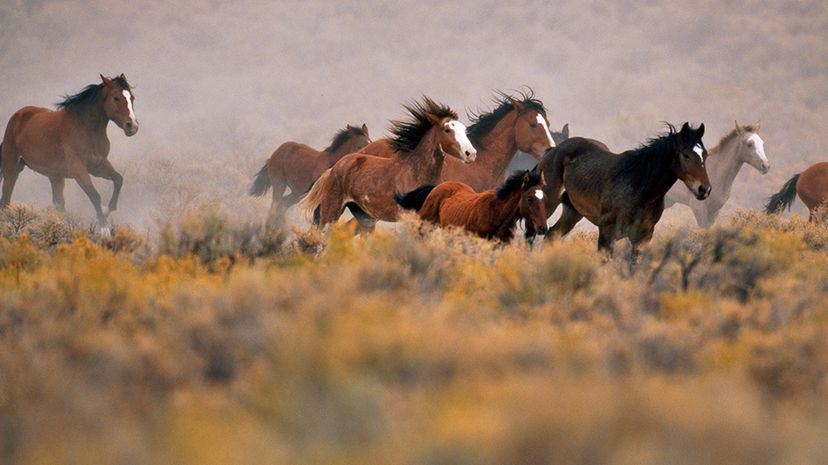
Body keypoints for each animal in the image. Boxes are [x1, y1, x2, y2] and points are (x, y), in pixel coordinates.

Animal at [0, 74, 138, 234]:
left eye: (132, 98)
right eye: (116, 97)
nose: (132, 126)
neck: (86, 129)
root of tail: (17, 116)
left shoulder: (98, 166)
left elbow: (118, 179)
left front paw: (107, 210)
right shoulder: (78, 170)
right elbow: (95, 196)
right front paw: (104, 229)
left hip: (55, 177)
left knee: (59, 204)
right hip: (12, 169)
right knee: (5, 200)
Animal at [301, 97, 476, 230]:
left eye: (464, 129)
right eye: (447, 130)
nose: (471, 154)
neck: (415, 172)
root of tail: (333, 168)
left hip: (366, 219)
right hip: (330, 214)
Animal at [395, 170, 548, 243]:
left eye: (544, 198)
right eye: (529, 198)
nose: (543, 228)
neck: (496, 214)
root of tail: (436, 187)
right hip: (424, 227)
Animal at [538, 122, 711, 256]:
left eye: (705, 155)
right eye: (686, 155)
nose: (704, 189)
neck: (639, 188)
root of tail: (553, 150)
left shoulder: (642, 238)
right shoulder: (607, 232)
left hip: (573, 212)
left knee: (551, 236)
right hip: (547, 204)